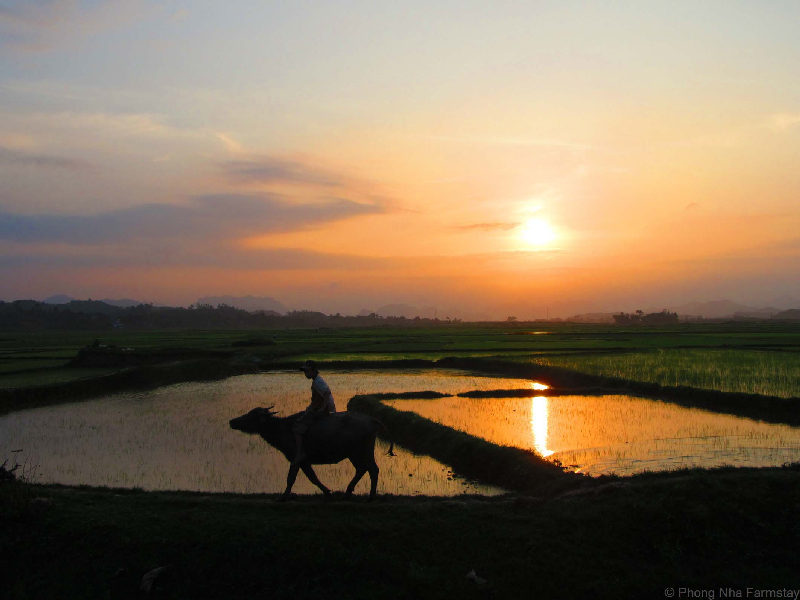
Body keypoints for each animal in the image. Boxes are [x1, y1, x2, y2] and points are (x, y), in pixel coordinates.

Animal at [228, 408, 394, 502]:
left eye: (251, 416)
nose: (232, 421)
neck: (283, 429)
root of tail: (372, 420)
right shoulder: (305, 461)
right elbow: (313, 478)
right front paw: (327, 492)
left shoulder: (296, 458)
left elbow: (291, 478)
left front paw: (283, 496)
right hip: (355, 453)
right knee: (363, 469)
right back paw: (348, 492)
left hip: (360, 451)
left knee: (372, 469)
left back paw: (370, 496)